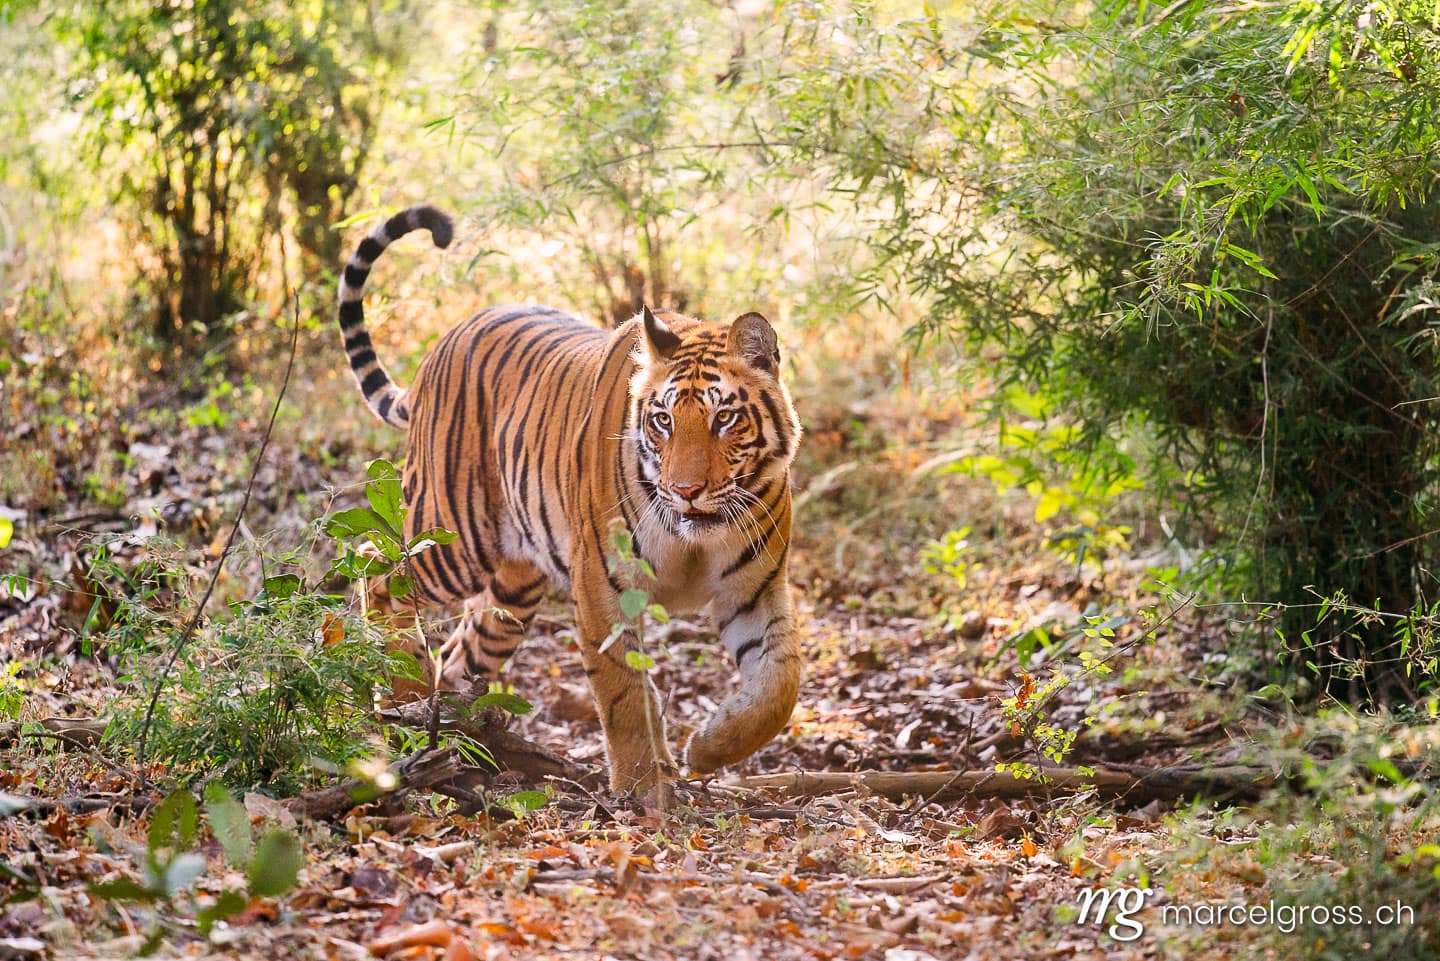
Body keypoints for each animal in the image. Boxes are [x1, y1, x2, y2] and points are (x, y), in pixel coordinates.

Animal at [337, 205, 803, 793]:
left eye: (724, 418)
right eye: (663, 420)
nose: (685, 491)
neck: (698, 538)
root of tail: (439, 347)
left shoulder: (755, 590)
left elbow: (780, 684)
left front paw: (707, 749)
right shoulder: (604, 586)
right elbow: (623, 693)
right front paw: (642, 788)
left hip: (513, 590)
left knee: (459, 650)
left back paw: (451, 730)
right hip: (452, 535)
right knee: (376, 567)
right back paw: (403, 694)